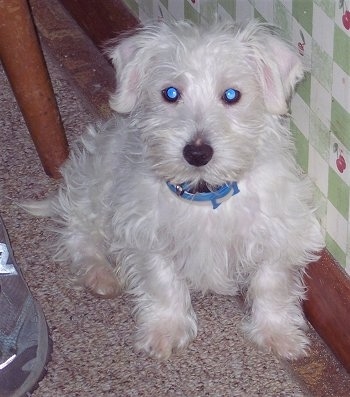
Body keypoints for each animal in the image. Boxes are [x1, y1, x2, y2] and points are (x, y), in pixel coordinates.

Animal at [28, 20, 324, 358]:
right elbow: (162, 283)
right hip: (95, 187)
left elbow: (271, 283)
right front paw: (165, 331)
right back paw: (101, 276)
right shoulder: (148, 235)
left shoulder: (279, 232)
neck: (206, 194)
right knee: (79, 235)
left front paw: (279, 335)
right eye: (170, 93)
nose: (197, 153)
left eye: (231, 95)